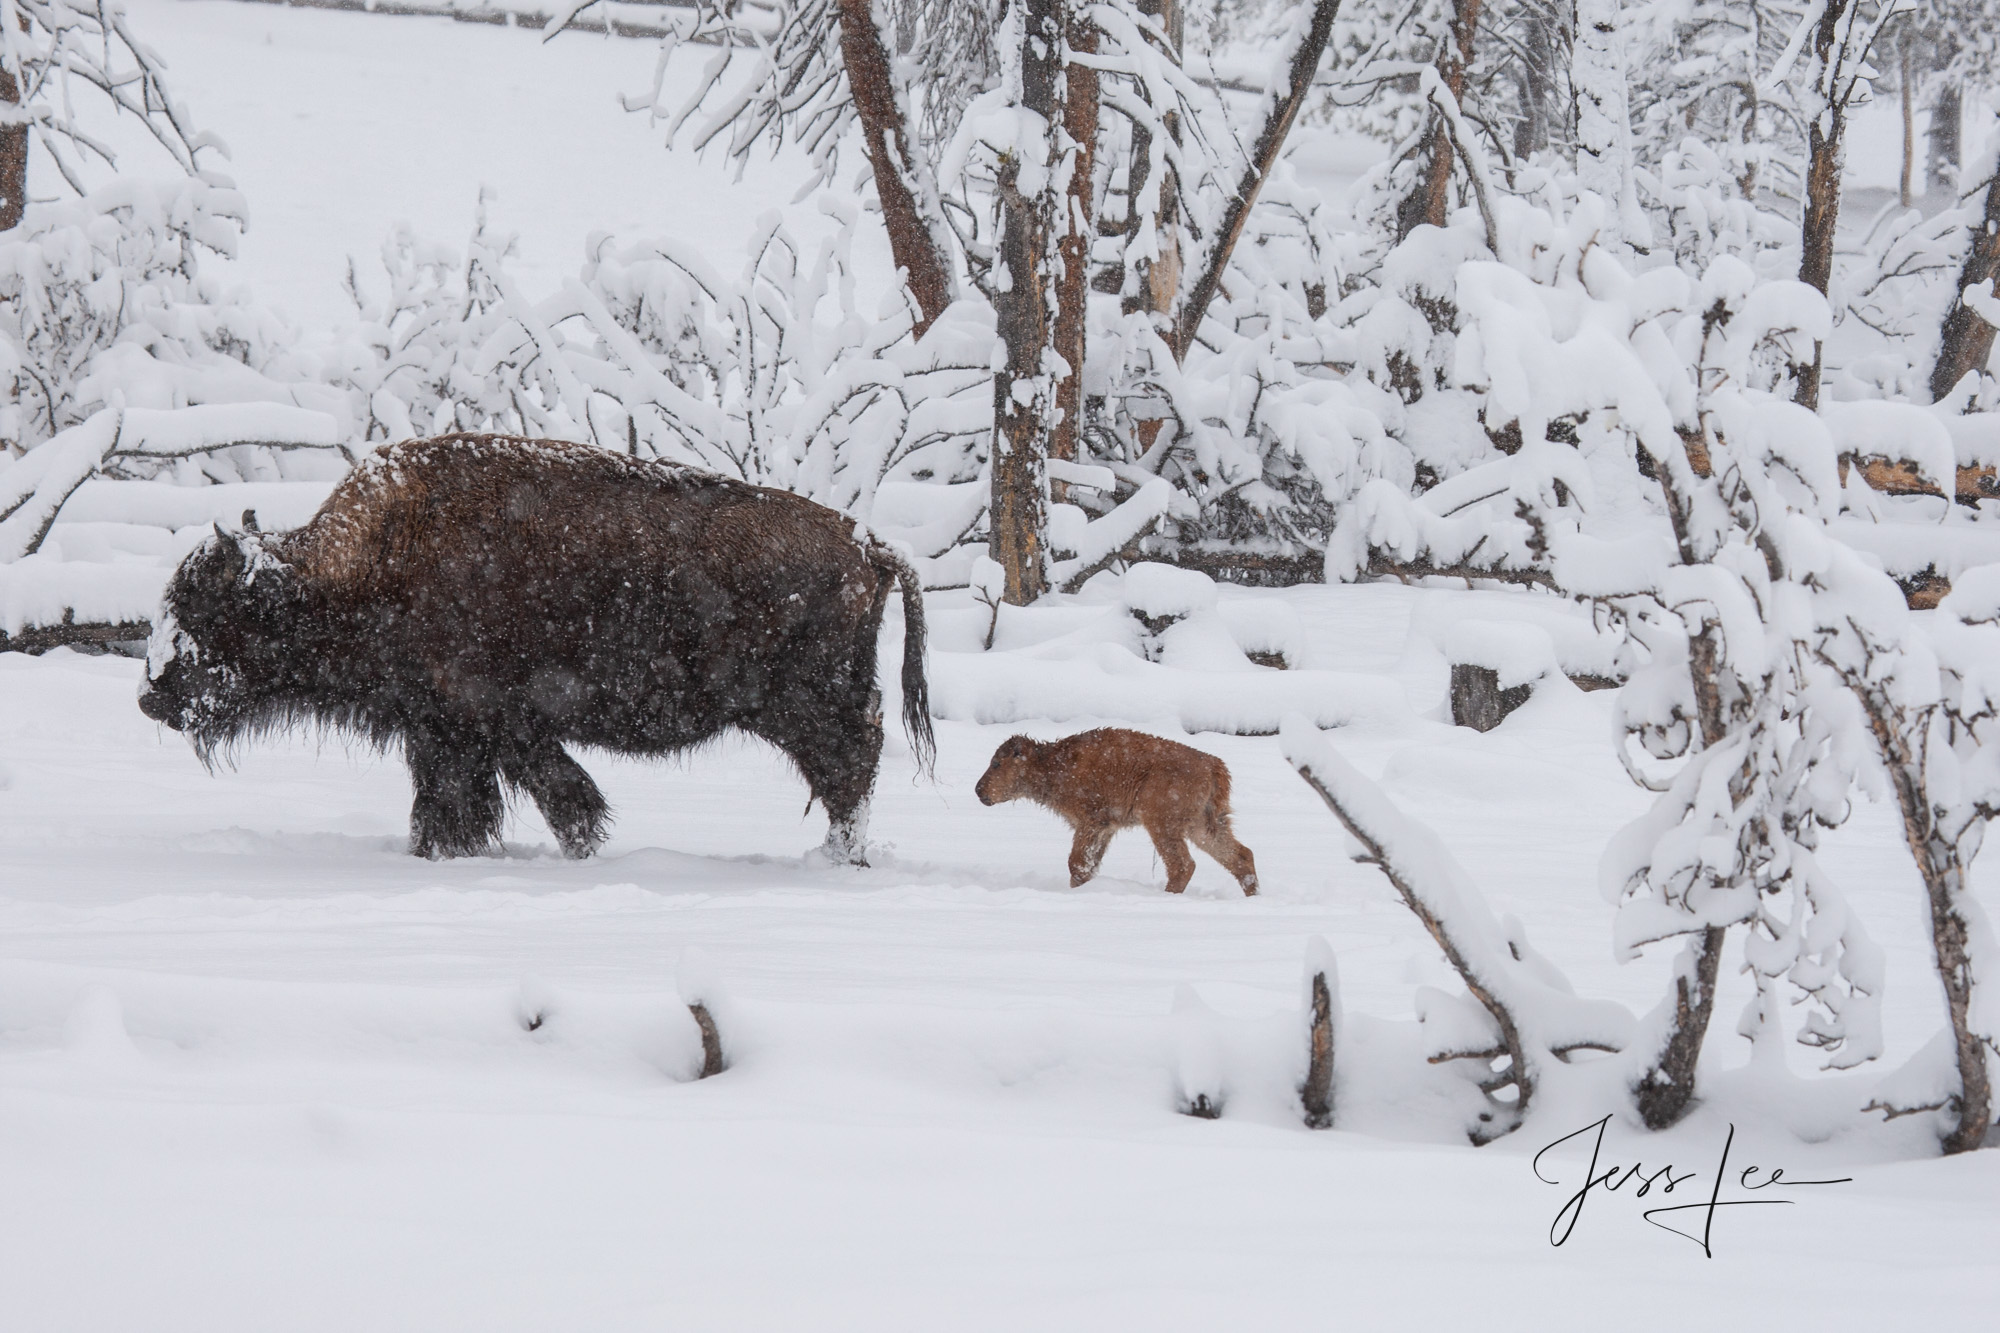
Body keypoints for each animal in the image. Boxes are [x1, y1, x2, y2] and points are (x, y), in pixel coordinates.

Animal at [141, 430, 936, 856]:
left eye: (208, 610)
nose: (153, 693)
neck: (367, 563)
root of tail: (867, 544)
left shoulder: (484, 725)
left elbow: (542, 799)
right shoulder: (448, 731)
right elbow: (474, 802)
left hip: (804, 706)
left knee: (849, 766)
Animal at [976, 728, 1256, 892]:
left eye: (997, 763)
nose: (979, 790)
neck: (1053, 764)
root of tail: (1214, 766)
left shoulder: (1090, 823)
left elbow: (1077, 863)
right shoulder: (1105, 829)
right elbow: (1087, 866)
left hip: (1162, 825)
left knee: (1182, 865)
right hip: (1204, 826)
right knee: (1240, 856)